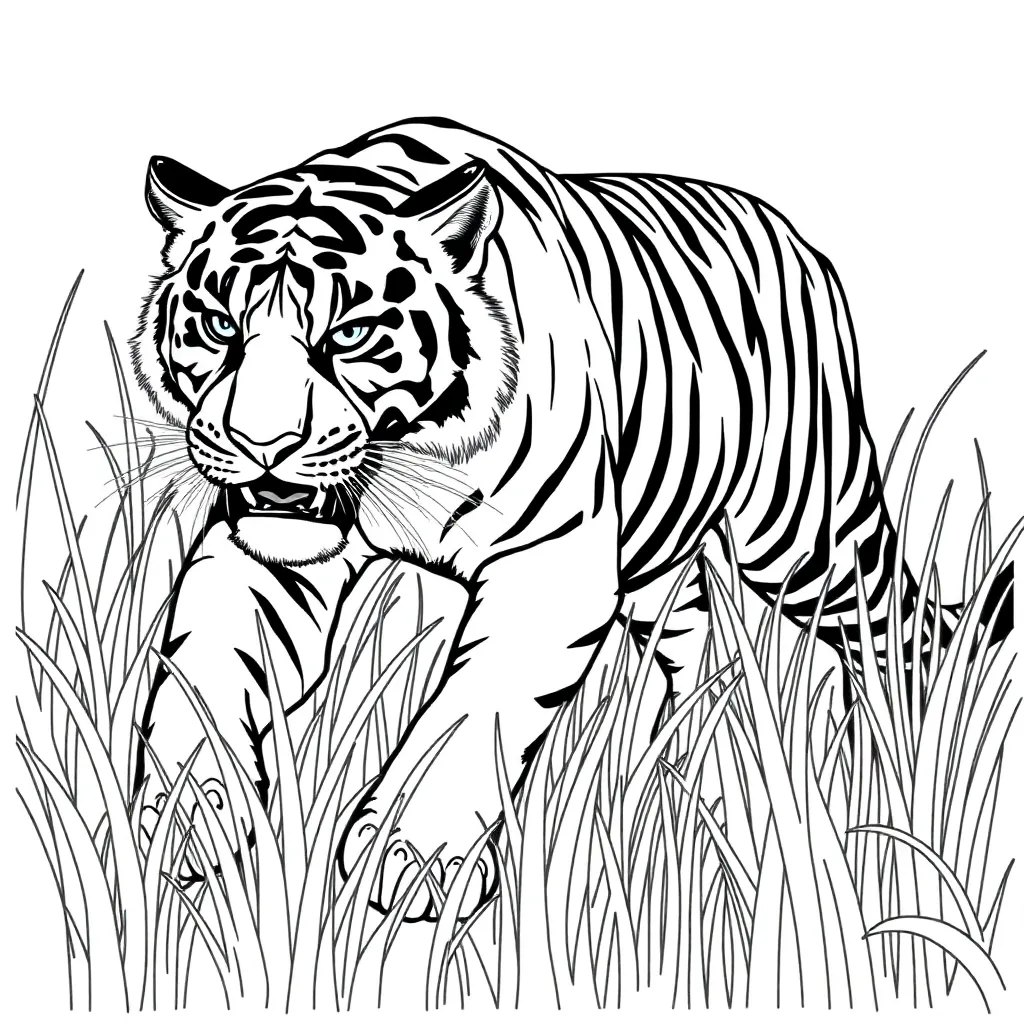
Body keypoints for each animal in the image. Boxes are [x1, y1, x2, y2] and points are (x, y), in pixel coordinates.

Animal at [132, 116, 1010, 921]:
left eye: (348, 336)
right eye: (219, 327)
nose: (264, 444)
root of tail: (800, 243)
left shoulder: (549, 569)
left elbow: (470, 715)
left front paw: (410, 858)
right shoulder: (264, 560)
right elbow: (202, 673)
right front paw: (185, 815)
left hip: (805, 529)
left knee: (892, 636)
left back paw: (894, 776)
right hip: (659, 556)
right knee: (695, 645)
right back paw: (675, 771)